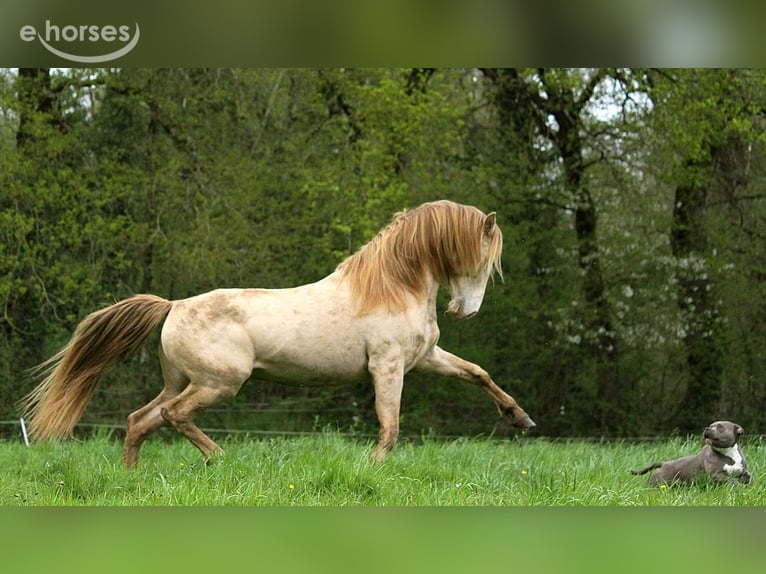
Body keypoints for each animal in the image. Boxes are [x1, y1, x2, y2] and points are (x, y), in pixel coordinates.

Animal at [21, 200, 535, 468]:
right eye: (483, 257)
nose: (464, 310)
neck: (391, 288)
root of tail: (174, 306)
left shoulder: (424, 358)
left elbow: (477, 373)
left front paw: (520, 418)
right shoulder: (388, 368)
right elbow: (390, 428)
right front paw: (370, 468)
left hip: (181, 380)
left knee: (139, 420)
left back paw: (133, 477)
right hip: (219, 384)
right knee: (172, 416)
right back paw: (220, 457)